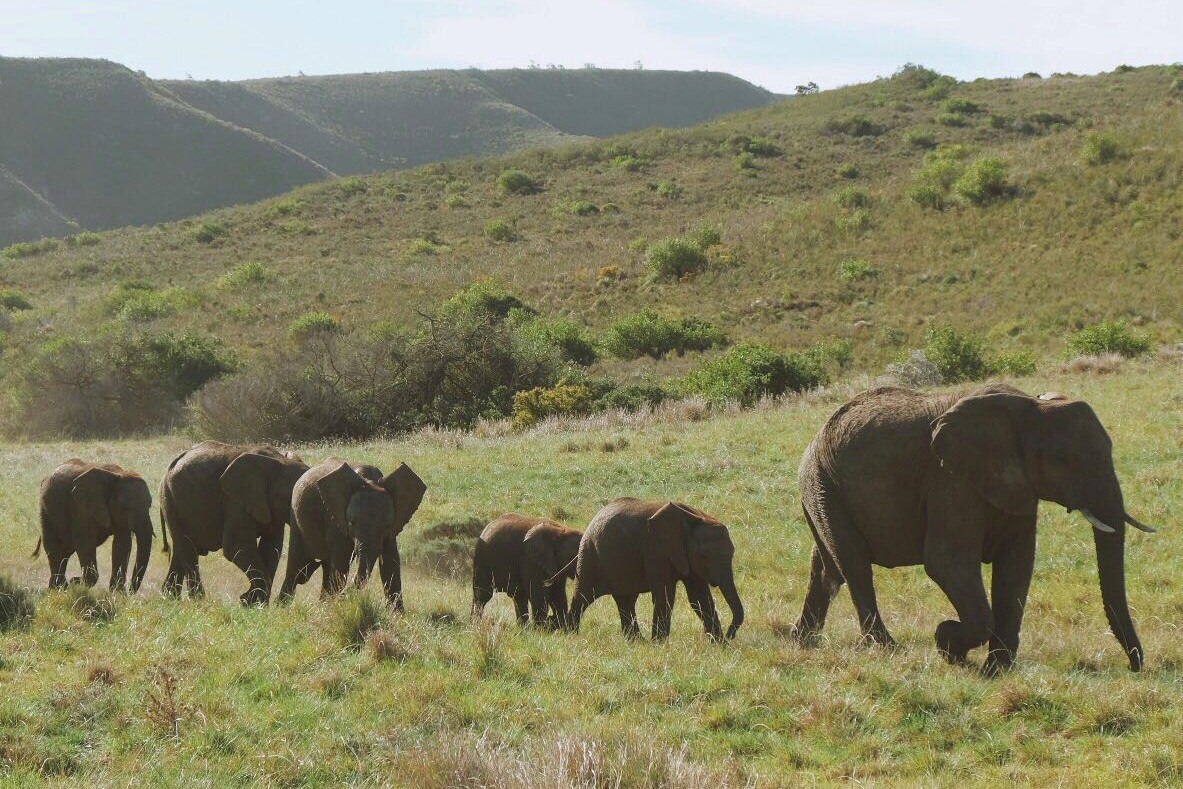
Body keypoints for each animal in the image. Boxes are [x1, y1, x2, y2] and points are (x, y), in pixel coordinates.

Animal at [35, 460, 154, 593]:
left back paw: (58, 587)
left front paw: (117, 594)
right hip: (44, 510)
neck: (119, 474)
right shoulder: (81, 508)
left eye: (150, 505)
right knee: (54, 546)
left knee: (65, 550)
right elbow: (85, 543)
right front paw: (76, 582)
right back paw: (59, 588)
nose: (131, 591)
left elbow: (122, 545)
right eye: (124, 508)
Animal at [159, 441, 309, 605]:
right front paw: (251, 602)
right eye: (288, 499)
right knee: (187, 549)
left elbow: (271, 549)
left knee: (180, 550)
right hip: (171, 501)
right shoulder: (234, 499)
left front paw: (252, 603)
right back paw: (198, 602)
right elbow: (236, 546)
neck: (280, 460)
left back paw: (170, 599)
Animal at [279, 458, 426, 609]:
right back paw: (281, 607)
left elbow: (391, 563)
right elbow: (341, 562)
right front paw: (334, 606)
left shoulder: (394, 526)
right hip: (295, 515)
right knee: (296, 568)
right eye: (352, 523)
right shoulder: (334, 516)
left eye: (387, 526)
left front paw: (397, 614)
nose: (346, 596)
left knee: (324, 568)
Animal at [568, 498, 744, 642]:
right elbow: (666, 595)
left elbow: (699, 598)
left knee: (626, 600)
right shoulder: (656, 550)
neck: (695, 517)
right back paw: (570, 633)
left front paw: (719, 644)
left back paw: (636, 641)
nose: (731, 635)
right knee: (583, 596)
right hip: (589, 553)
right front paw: (659, 644)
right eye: (704, 556)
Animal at [792, 384, 1158, 673]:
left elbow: (1016, 566)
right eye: (1062, 458)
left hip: (822, 489)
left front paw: (996, 670)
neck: (1030, 406)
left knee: (827, 569)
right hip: (824, 484)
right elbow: (947, 561)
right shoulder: (951, 482)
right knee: (854, 565)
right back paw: (887, 649)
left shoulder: (1016, 485)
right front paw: (947, 643)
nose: (1134, 667)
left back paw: (803, 641)